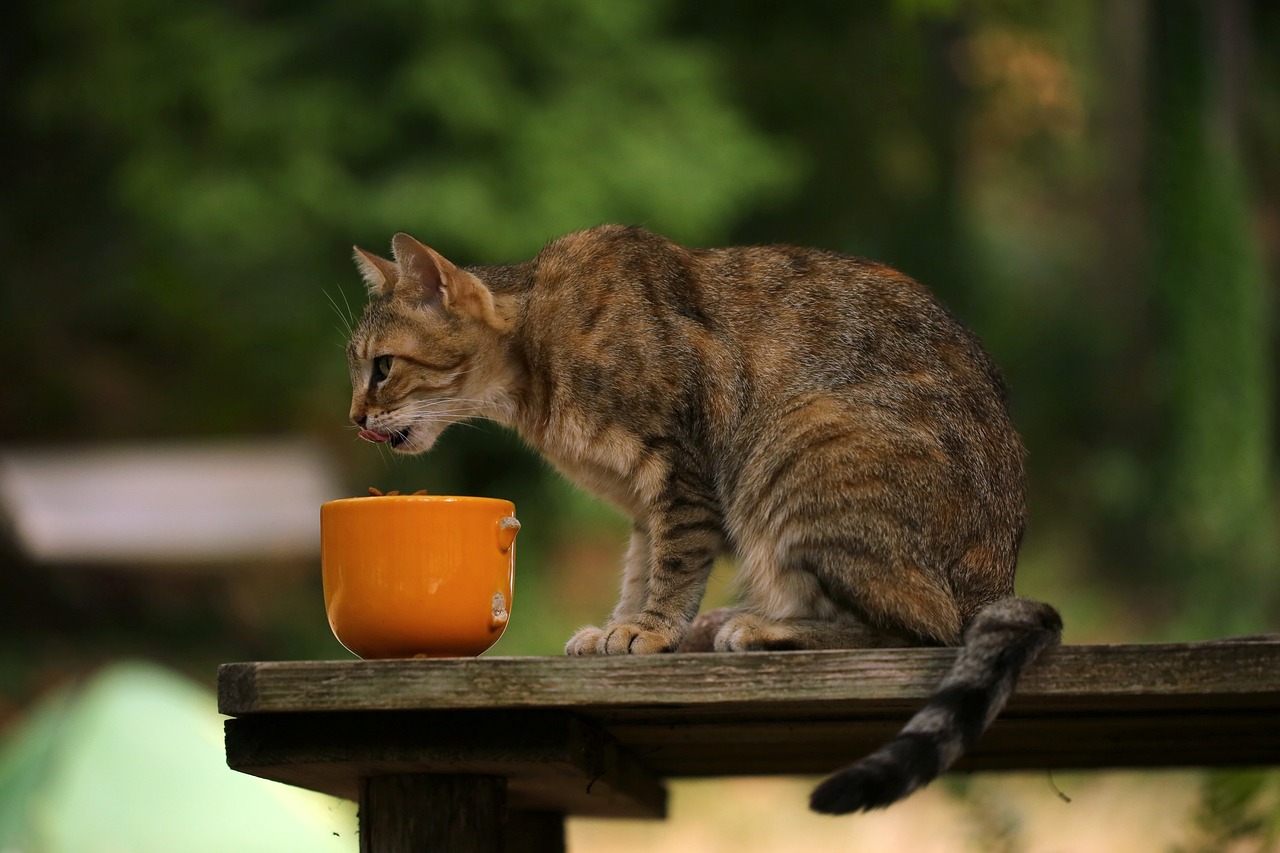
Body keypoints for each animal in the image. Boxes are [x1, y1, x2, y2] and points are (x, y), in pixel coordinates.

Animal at [345, 225, 1064, 809]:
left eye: (383, 367)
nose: (353, 418)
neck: (536, 357)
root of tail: (995, 582)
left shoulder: (681, 471)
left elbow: (674, 564)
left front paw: (649, 630)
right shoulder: (646, 502)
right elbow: (641, 568)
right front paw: (623, 625)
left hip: (801, 445)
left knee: (924, 628)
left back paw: (762, 629)